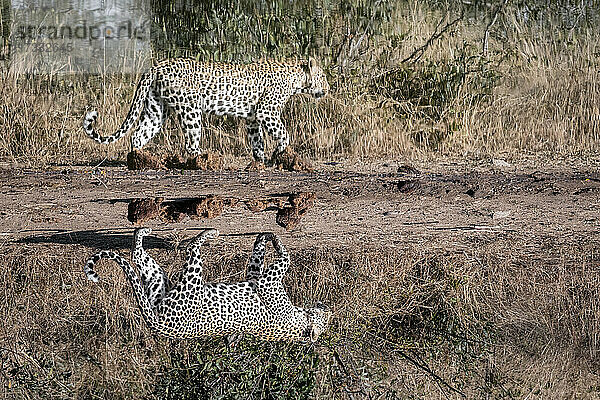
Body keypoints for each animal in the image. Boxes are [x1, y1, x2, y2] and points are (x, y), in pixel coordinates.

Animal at [81, 56, 328, 164]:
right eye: (323, 76)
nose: (328, 88)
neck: (297, 78)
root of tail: (156, 65)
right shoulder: (266, 112)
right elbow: (284, 133)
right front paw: (281, 152)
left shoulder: (252, 118)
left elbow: (257, 141)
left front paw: (260, 162)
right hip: (191, 110)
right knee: (191, 144)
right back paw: (202, 162)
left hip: (156, 109)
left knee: (138, 135)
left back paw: (140, 161)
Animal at [83, 228, 332, 340]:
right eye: (327, 316)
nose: (328, 307)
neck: (300, 322)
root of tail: (160, 325)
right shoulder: (258, 277)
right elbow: (258, 259)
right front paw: (264, 237)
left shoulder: (267, 282)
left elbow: (285, 258)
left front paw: (276, 241)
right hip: (157, 283)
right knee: (137, 255)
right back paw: (142, 231)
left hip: (191, 278)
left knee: (190, 248)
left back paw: (208, 233)